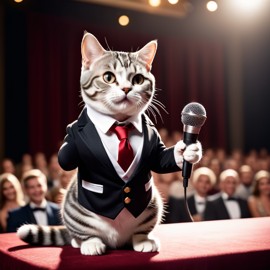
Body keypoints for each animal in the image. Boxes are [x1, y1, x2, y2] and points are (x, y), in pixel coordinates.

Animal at [16, 31, 201, 255]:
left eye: (138, 79)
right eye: (108, 77)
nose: (126, 88)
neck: (119, 122)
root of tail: (116, 241)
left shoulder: (154, 140)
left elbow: (160, 159)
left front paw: (188, 151)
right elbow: (67, 156)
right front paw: (77, 132)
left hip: (153, 204)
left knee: (138, 233)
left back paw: (142, 240)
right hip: (74, 211)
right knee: (80, 234)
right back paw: (89, 243)